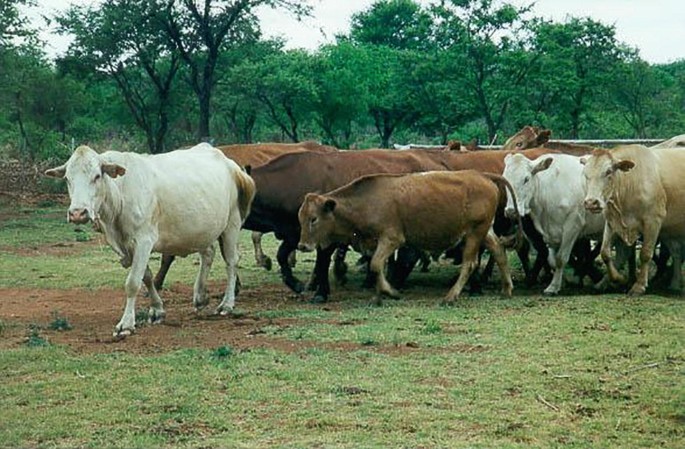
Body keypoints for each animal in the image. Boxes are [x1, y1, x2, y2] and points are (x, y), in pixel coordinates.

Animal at [45, 143, 256, 338]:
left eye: (97, 176)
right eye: (67, 179)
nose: (77, 213)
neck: (120, 192)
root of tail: (230, 164)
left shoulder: (143, 240)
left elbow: (132, 282)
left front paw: (126, 323)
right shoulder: (128, 246)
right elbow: (146, 277)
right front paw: (157, 309)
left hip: (231, 224)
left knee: (231, 262)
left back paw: (227, 304)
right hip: (202, 229)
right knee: (208, 254)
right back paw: (200, 296)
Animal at [297, 170, 521, 304]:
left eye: (314, 219)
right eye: (301, 218)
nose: (302, 246)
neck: (367, 200)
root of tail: (482, 175)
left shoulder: (392, 239)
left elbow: (376, 264)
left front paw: (390, 292)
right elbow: (378, 266)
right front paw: (380, 294)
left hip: (475, 233)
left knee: (470, 263)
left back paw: (451, 295)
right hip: (484, 231)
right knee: (499, 251)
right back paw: (507, 288)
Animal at [503, 153, 605, 294]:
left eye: (526, 179)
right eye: (505, 179)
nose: (511, 211)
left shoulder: (573, 225)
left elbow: (561, 258)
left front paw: (553, 287)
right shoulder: (550, 233)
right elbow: (552, 260)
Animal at [582, 145, 685, 295]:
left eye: (608, 172)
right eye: (585, 174)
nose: (591, 203)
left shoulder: (653, 221)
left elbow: (645, 253)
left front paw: (639, 286)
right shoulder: (612, 221)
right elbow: (605, 252)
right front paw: (618, 279)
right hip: (671, 229)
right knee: (677, 252)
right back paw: (675, 284)